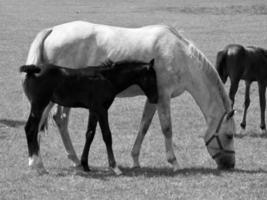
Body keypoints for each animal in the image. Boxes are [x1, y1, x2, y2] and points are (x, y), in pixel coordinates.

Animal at [21, 59, 159, 175]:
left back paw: (37, 164)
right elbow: (107, 135)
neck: (107, 78)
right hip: (39, 105)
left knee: (34, 130)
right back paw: (37, 165)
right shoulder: (102, 110)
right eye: (152, 78)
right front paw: (115, 167)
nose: (155, 99)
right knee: (30, 129)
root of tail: (35, 68)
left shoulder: (93, 110)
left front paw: (85, 165)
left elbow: (90, 134)